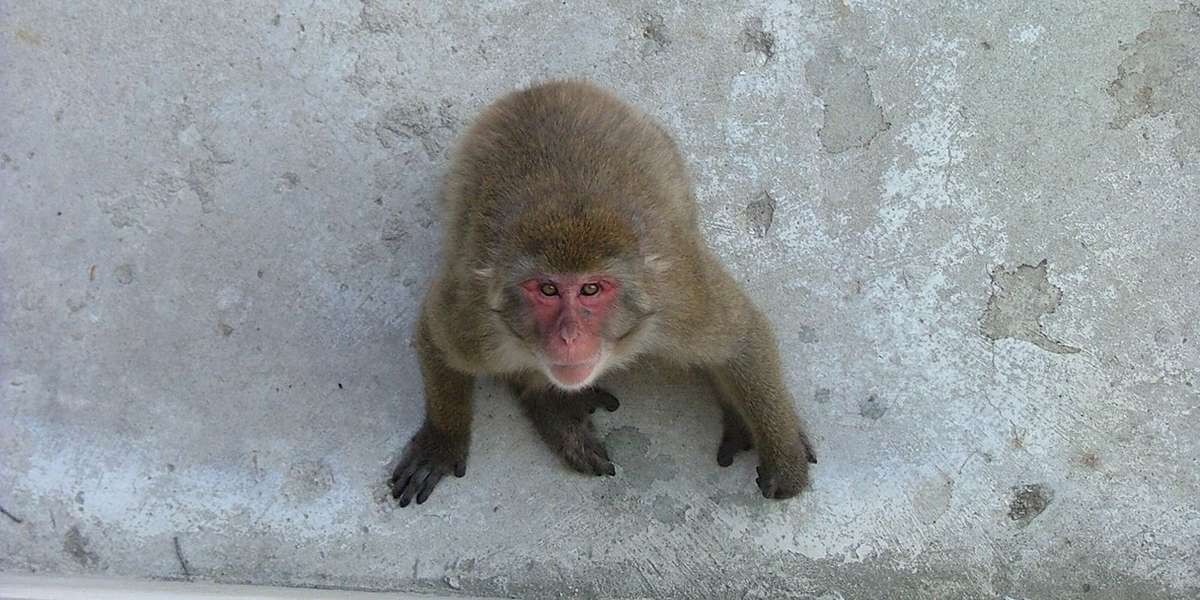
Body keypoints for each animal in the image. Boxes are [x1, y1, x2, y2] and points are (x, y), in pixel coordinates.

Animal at [389, 80, 817, 507]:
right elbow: (434, 337)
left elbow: (743, 335)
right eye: (547, 289)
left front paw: (785, 458)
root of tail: (543, 88)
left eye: (591, 289)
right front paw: (443, 439)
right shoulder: (474, 315)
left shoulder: (678, 298)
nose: (568, 335)